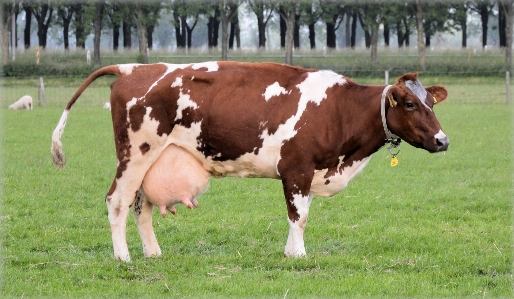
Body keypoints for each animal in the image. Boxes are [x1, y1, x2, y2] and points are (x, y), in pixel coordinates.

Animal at [49, 62, 448, 262]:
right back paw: (123, 258)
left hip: (152, 160)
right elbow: (299, 216)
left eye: (431, 102)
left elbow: (301, 214)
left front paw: (290, 252)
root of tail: (134, 67)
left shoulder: (309, 171)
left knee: (140, 206)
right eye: (409, 104)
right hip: (135, 153)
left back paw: (153, 253)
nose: (443, 140)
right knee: (117, 202)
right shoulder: (297, 168)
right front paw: (298, 256)